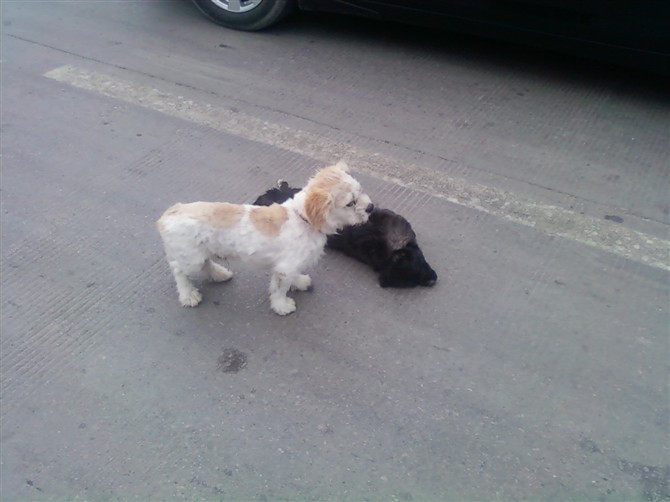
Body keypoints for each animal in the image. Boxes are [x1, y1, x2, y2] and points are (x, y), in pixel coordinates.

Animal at [159, 163, 376, 316]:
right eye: (350, 203)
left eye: (361, 190)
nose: (371, 207)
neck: (302, 218)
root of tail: (169, 213)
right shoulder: (285, 268)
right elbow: (280, 289)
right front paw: (282, 306)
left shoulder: (290, 265)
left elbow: (293, 277)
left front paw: (299, 281)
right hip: (190, 259)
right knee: (178, 270)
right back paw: (188, 294)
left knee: (206, 263)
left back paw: (219, 274)